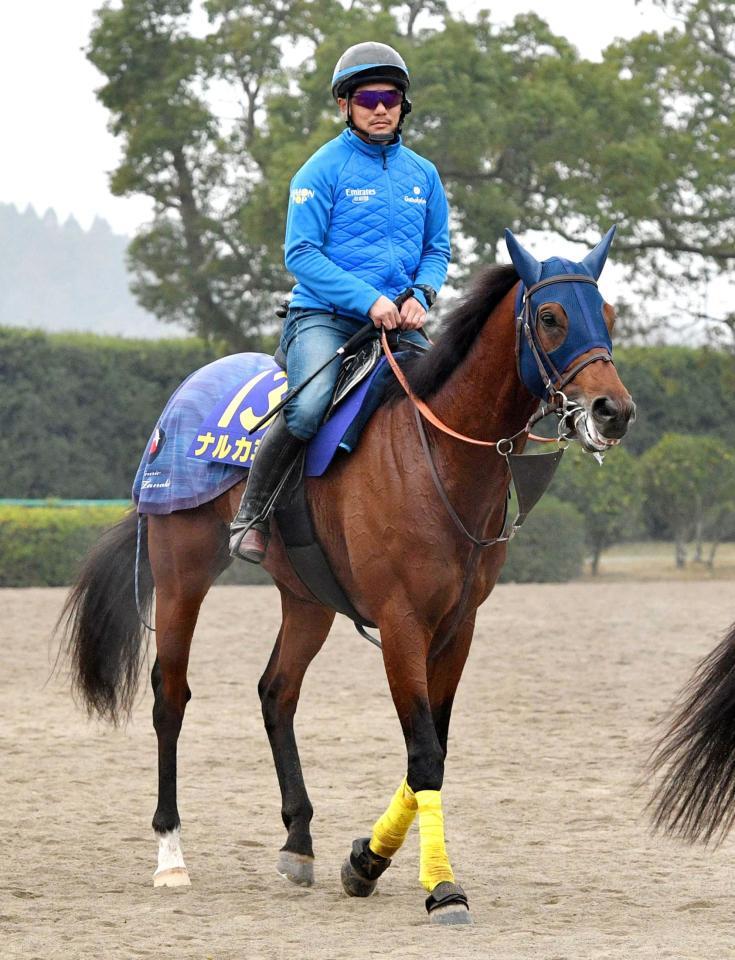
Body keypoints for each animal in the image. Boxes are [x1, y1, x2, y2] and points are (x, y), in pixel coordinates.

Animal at [60, 229, 635, 925]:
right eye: (550, 318)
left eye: (607, 316)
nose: (614, 410)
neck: (435, 454)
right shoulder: (401, 622)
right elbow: (425, 755)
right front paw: (441, 887)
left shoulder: (458, 625)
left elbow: (432, 750)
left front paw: (365, 860)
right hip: (180, 575)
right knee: (170, 697)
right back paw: (171, 854)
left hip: (307, 600)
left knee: (276, 693)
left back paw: (299, 839)